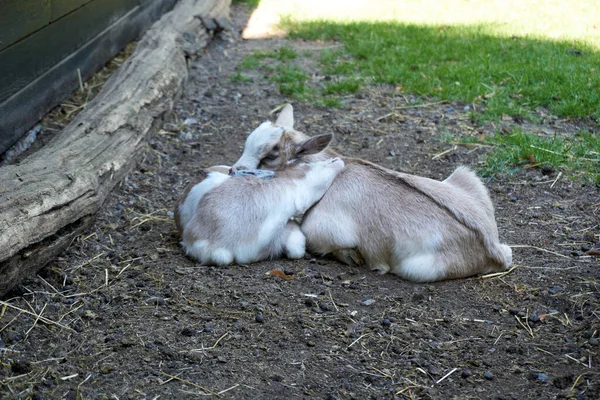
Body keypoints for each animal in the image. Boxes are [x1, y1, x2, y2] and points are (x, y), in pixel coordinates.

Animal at [232, 104, 512, 282]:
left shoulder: (320, 228)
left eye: (270, 155)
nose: (235, 170)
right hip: (465, 176)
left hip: (417, 269)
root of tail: (495, 252)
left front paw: (352, 256)